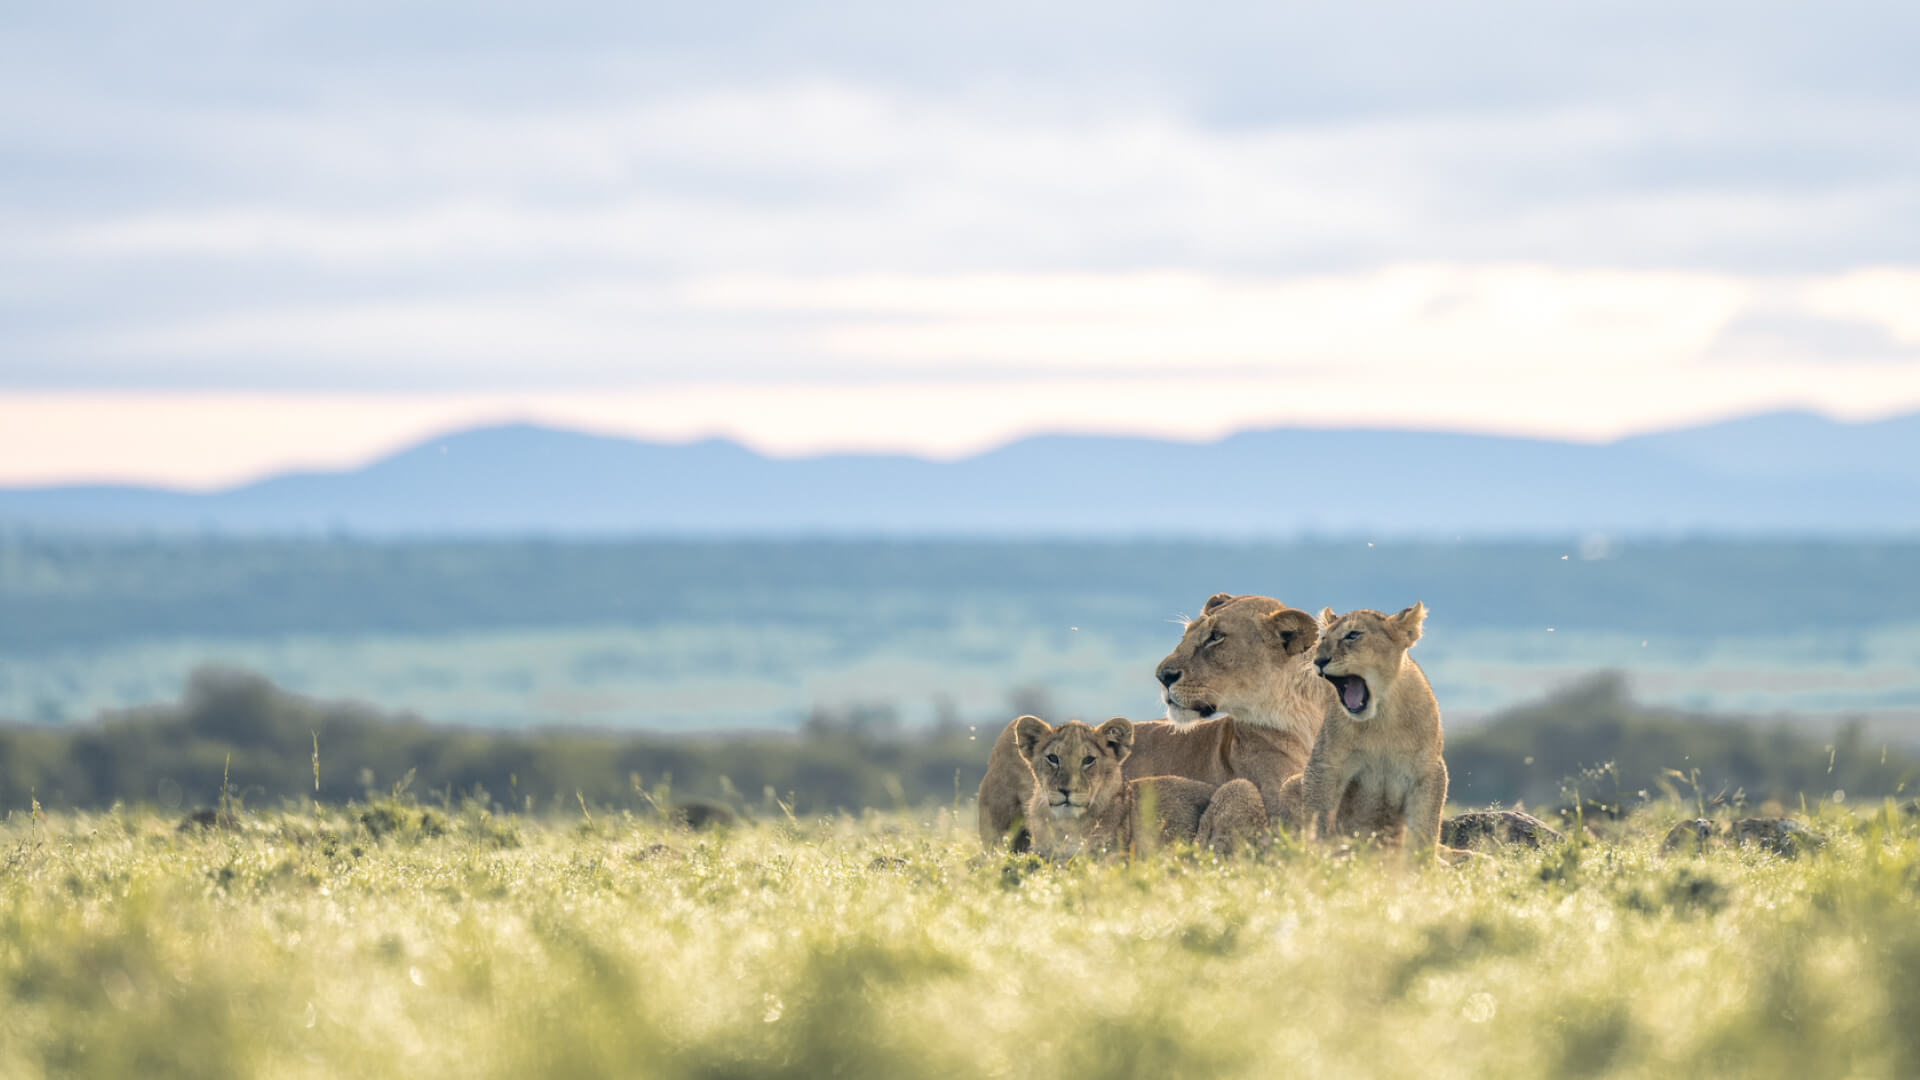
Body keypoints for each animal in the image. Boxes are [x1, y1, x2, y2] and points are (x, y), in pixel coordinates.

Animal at [1289, 603, 1466, 865]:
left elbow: (1425, 828)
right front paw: (1317, 856)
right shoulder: (1324, 765)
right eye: (1323, 637)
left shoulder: (1428, 770)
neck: (1381, 718)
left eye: (1353, 635)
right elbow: (1317, 815)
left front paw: (1423, 867)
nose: (1318, 660)